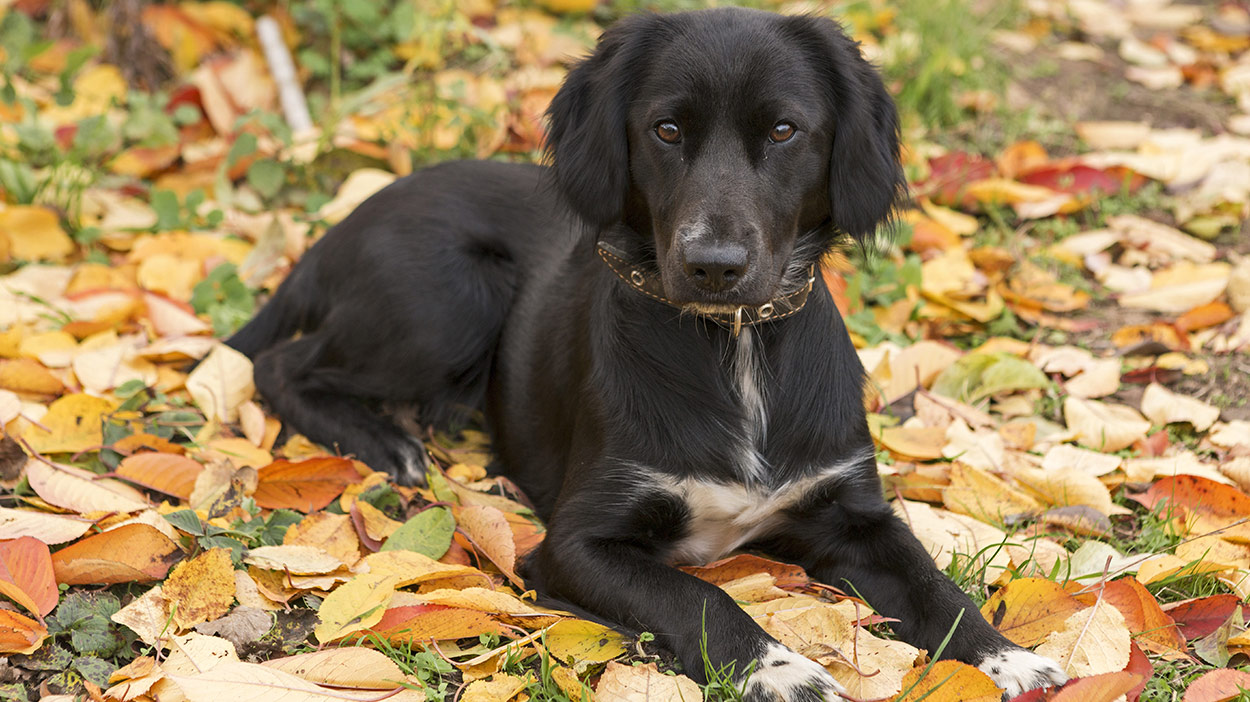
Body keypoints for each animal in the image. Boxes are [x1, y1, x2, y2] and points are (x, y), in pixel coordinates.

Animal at [230, 8, 1070, 694]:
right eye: (666, 130)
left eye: (784, 131)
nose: (714, 265)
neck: (734, 344)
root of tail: (345, 221)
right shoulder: (575, 545)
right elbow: (701, 595)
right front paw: (780, 669)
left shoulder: (852, 511)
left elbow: (933, 583)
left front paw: (1007, 657)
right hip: (447, 296)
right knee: (278, 365)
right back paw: (386, 442)